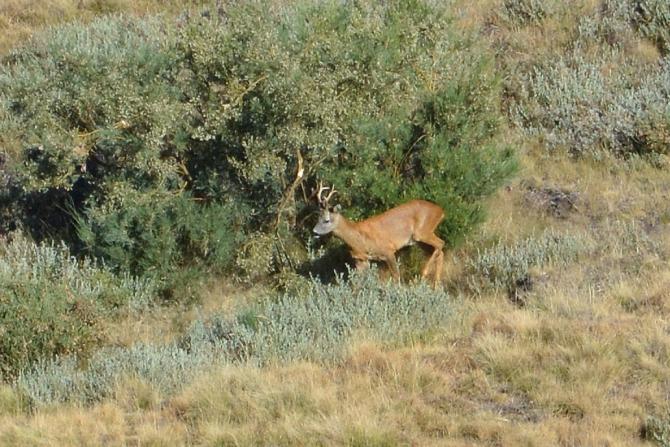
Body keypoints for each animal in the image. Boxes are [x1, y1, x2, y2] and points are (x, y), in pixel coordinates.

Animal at [312, 183, 445, 287]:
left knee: (441, 243)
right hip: (420, 240)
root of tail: (441, 210)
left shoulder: (388, 250)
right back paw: (436, 286)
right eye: (318, 217)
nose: (314, 231)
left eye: (327, 220)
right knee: (440, 251)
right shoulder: (361, 259)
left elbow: (396, 276)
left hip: (422, 232)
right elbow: (357, 283)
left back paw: (424, 273)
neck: (358, 239)